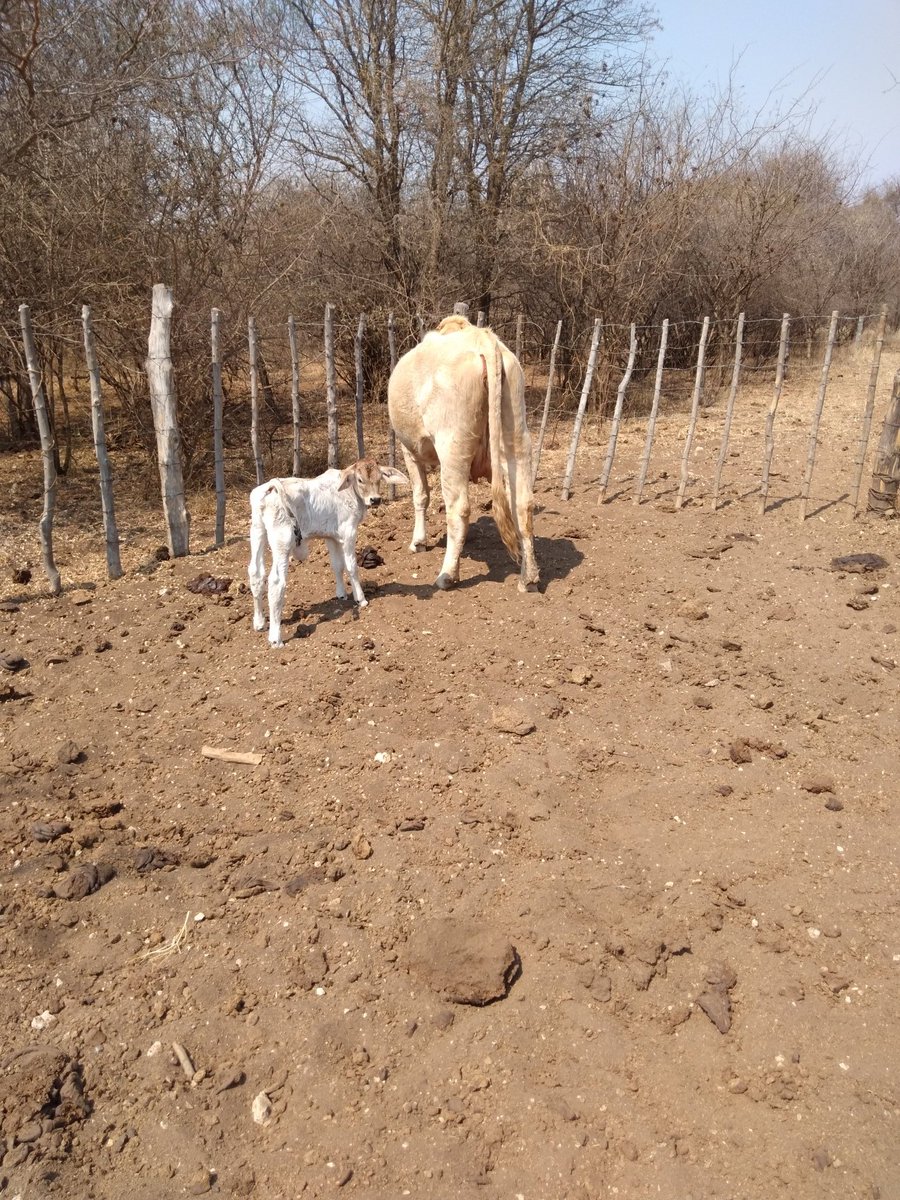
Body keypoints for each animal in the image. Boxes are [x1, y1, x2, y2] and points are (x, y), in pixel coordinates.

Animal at [243, 458, 405, 648]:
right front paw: (361, 599)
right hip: (282, 540)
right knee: (276, 582)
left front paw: (341, 594)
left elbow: (337, 565)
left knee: (255, 573)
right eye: (360, 479)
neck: (349, 493)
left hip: (257, 531)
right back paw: (275, 638)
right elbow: (351, 566)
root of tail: (270, 487)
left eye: (379, 478)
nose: (375, 499)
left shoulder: (332, 537)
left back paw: (259, 622)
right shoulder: (349, 532)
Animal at [386, 312, 540, 588]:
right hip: (517, 439)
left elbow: (420, 495)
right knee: (523, 504)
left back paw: (447, 575)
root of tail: (482, 337)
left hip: (452, 447)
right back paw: (530, 577)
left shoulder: (409, 450)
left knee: (458, 508)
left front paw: (418, 542)